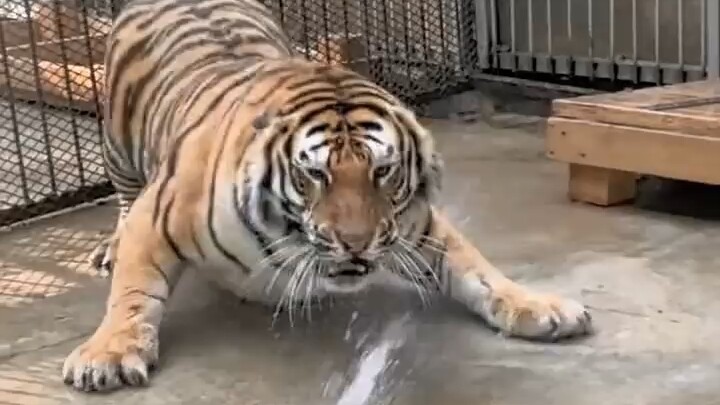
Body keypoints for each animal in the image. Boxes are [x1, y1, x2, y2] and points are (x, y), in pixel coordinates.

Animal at [62, 0, 593, 392]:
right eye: (314, 174)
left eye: (383, 171)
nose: (356, 244)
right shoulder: (155, 219)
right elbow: (133, 294)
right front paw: (107, 354)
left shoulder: (416, 226)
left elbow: (479, 272)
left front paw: (539, 308)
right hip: (116, 144)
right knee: (123, 199)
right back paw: (109, 249)